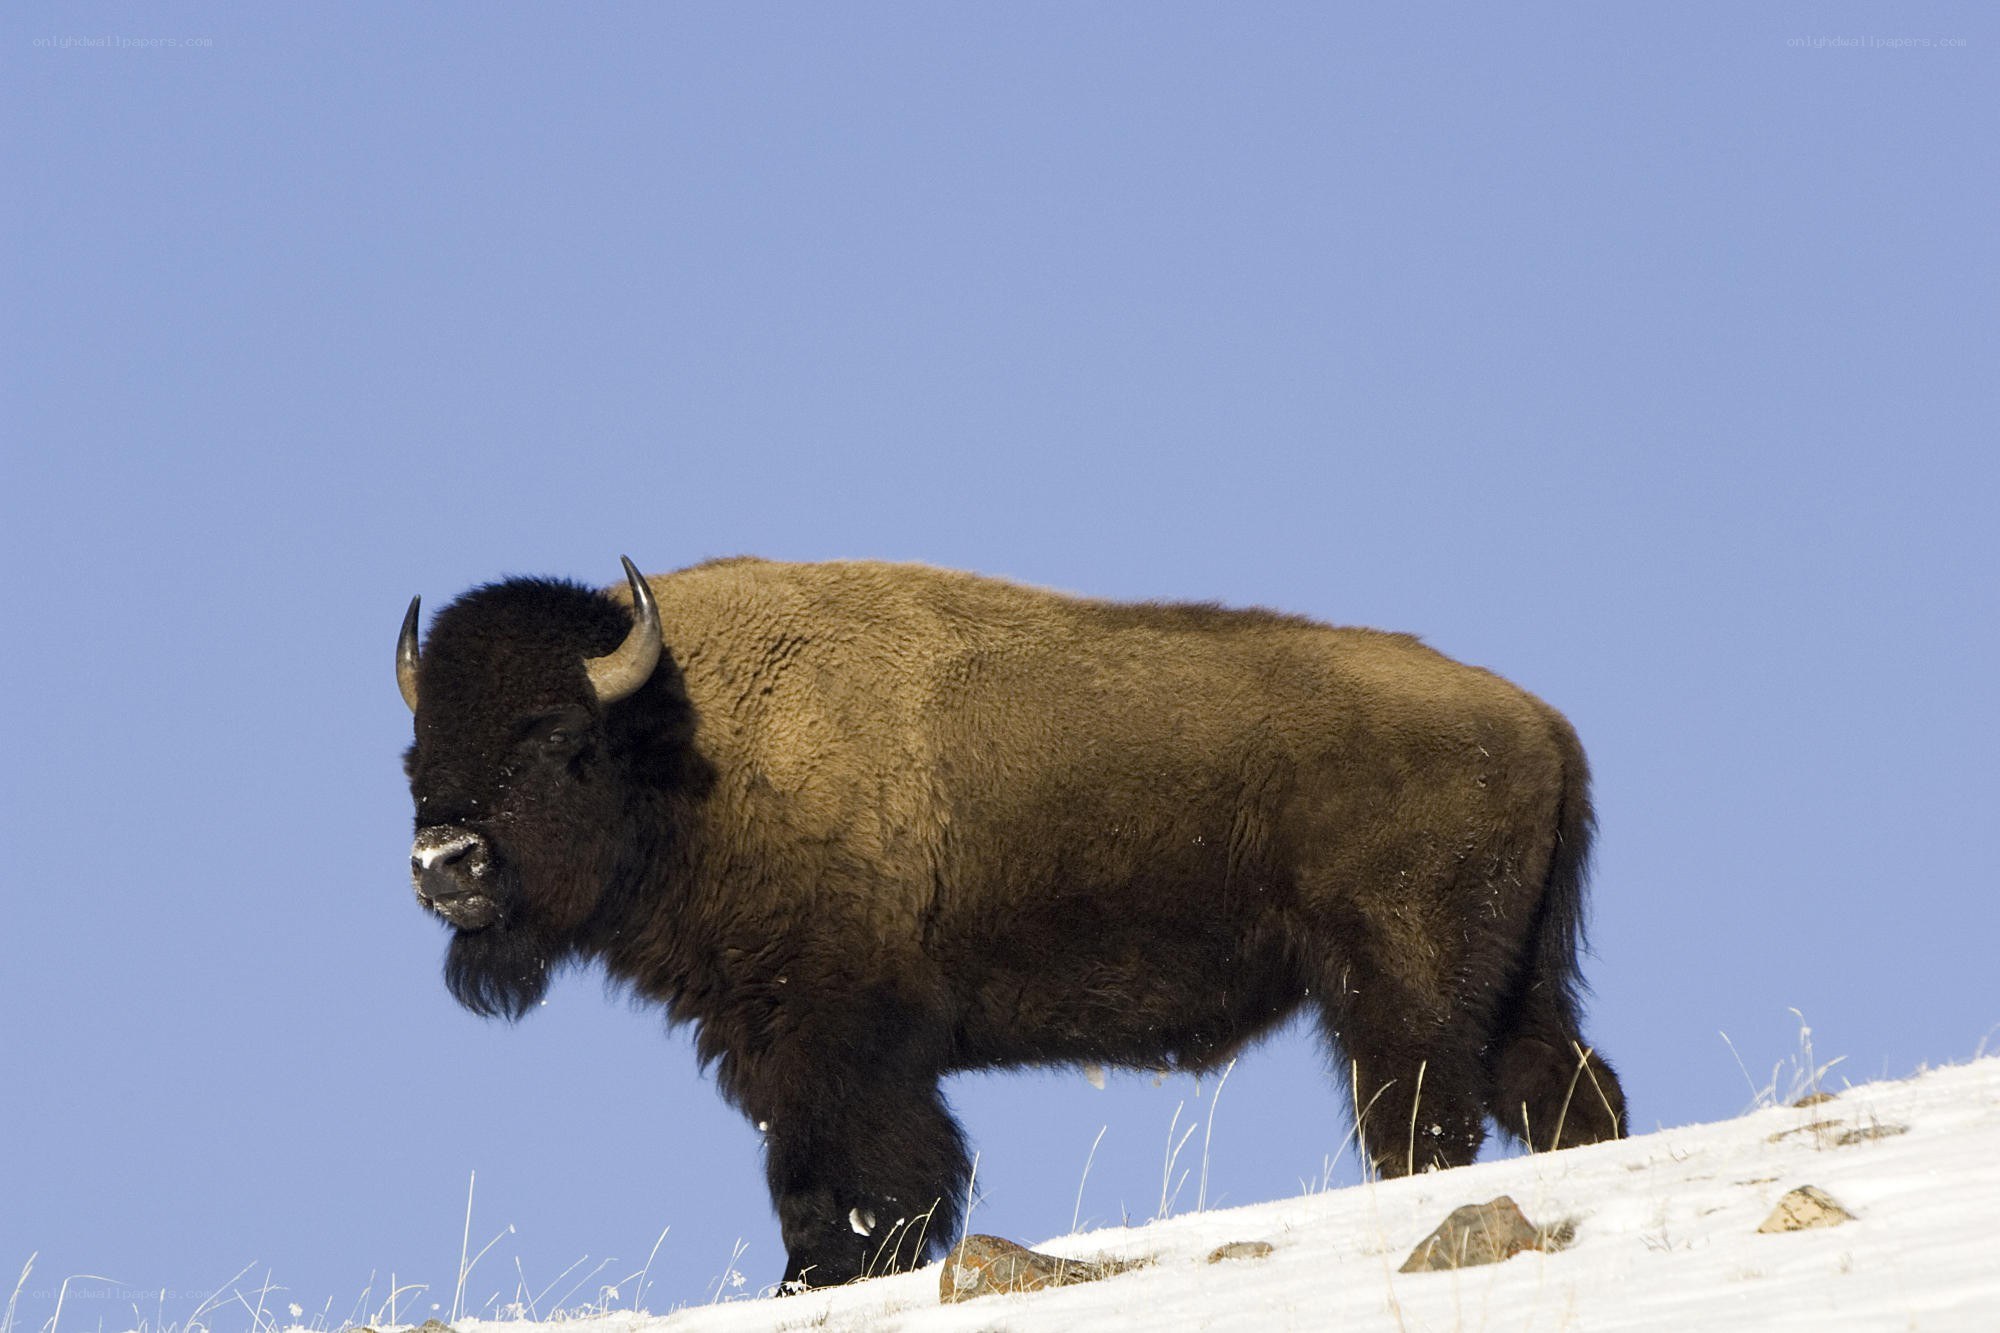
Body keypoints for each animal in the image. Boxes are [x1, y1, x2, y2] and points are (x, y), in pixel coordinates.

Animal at [396, 556, 1625, 1288]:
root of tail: (1541, 723)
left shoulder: (838, 1044)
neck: (687, 741)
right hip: (1513, 984)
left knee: (1421, 1117)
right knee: (1564, 1092)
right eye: (415, 754)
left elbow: (856, 1178)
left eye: (559, 740)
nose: (444, 863)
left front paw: (823, 1277)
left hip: (1399, 986)